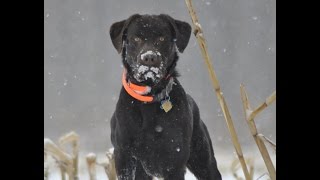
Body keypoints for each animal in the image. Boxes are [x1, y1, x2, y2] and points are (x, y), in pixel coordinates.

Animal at [109, 14, 221, 180]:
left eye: (162, 38)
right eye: (136, 38)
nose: (149, 58)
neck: (149, 99)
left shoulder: (174, 160)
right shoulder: (124, 156)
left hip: (204, 160)